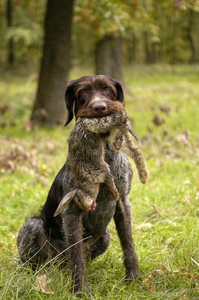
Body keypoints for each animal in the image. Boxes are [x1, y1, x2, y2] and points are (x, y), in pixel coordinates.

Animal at [16, 75, 148, 298]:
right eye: (83, 93)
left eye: (108, 90)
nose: (100, 107)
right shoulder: (72, 211)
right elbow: (77, 256)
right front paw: (80, 291)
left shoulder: (123, 202)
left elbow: (128, 244)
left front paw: (133, 279)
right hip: (33, 227)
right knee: (42, 264)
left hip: (105, 236)